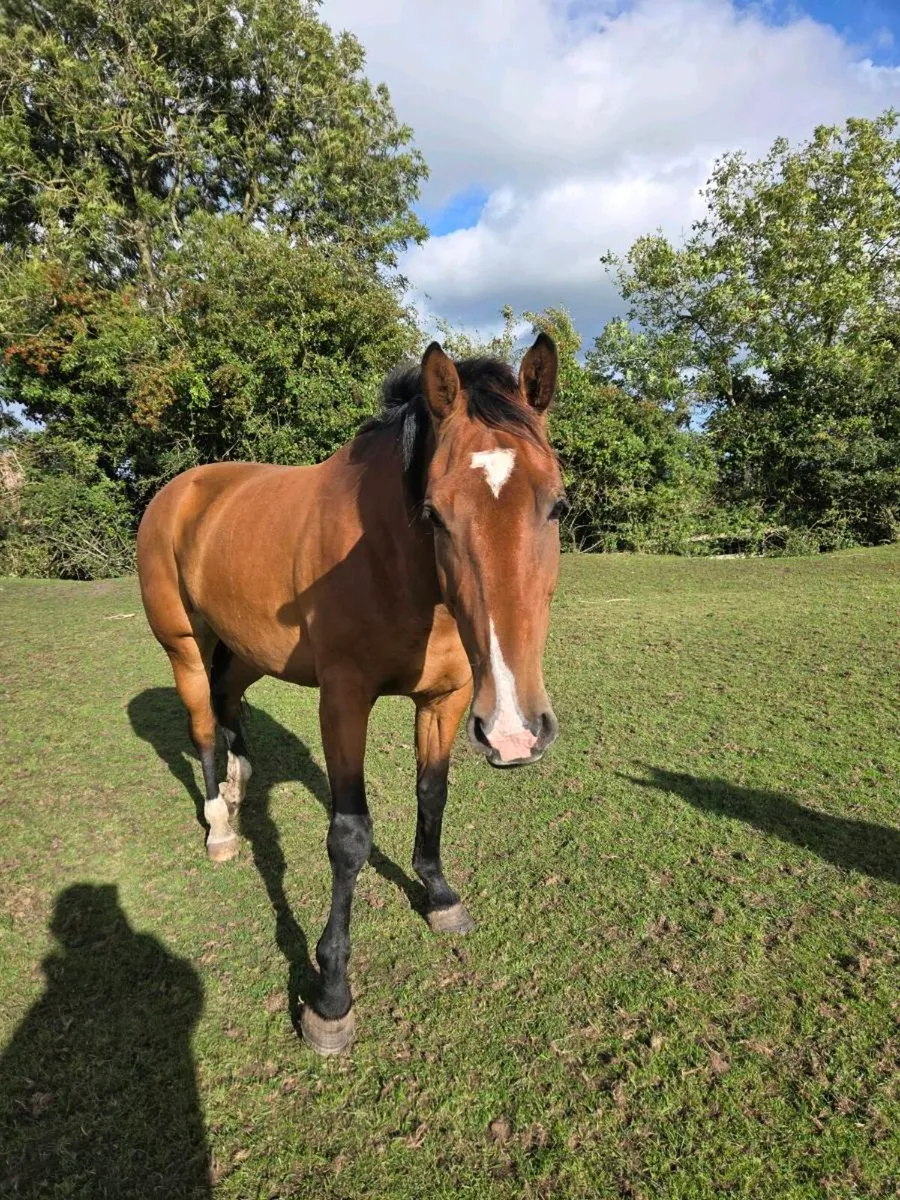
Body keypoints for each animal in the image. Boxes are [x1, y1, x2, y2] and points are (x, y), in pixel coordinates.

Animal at [136, 335, 565, 1054]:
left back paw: (238, 784)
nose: (515, 731)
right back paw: (220, 825)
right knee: (200, 724)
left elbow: (432, 793)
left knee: (227, 702)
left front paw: (439, 895)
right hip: (183, 645)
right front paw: (330, 996)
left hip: (247, 650)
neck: (399, 563)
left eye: (557, 506)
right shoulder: (342, 701)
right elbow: (350, 837)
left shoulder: (447, 699)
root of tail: (182, 489)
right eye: (434, 513)